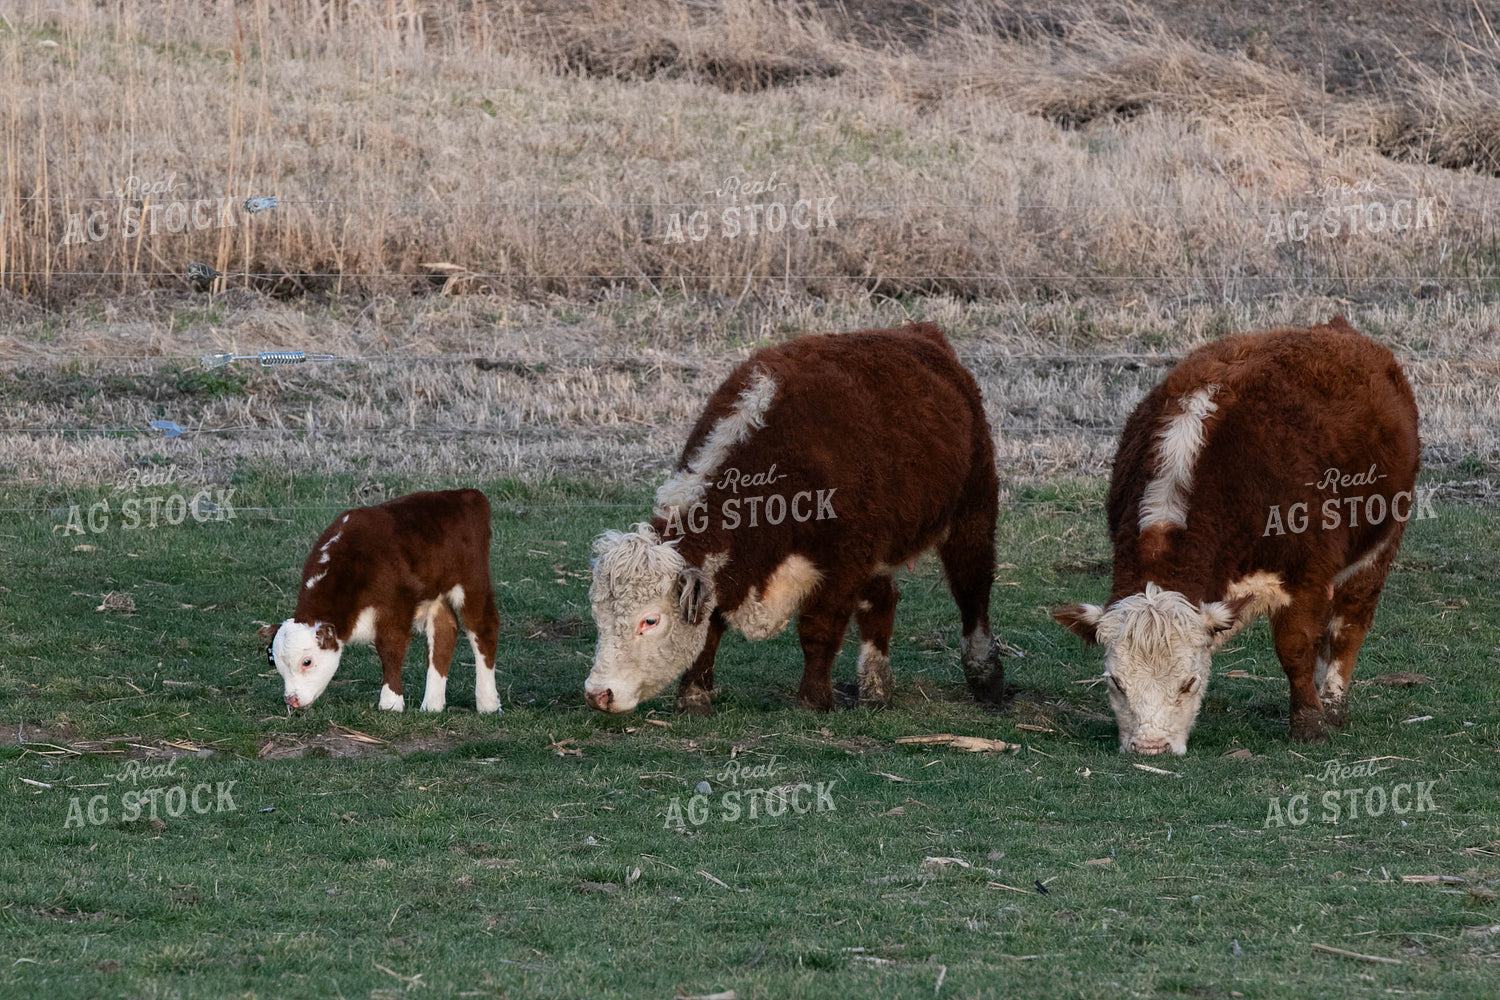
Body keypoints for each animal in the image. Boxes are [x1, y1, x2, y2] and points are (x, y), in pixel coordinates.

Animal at [258, 489, 502, 713]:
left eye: (306, 661)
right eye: (275, 662)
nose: (291, 699)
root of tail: (466, 494)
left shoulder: (395, 606)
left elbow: (389, 649)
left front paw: (390, 703)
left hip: (472, 580)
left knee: (483, 628)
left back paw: (488, 703)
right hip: (435, 591)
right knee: (444, 630)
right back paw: (432, 705)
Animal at [583, 321, 1006, 716]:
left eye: (650, 620)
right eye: (598, 615)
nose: (598, 694)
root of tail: (919, 333)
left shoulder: (842, 564)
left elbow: (817, 629)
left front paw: (813, 699)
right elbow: (710, 630)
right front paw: (694, 696)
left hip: (973, 510)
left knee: (973, 590)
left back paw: (985, 676)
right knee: (880, 602)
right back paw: (875, 689)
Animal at [1052, 317, 1420, 753]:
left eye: (1189, 683)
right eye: (1117, 683)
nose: (1150, 748)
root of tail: (1336, 328)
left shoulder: (1306, 574)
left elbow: (1296, 647)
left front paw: (1310, 724)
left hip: (1380, 544)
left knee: (1348, 626)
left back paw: (1331, 704)